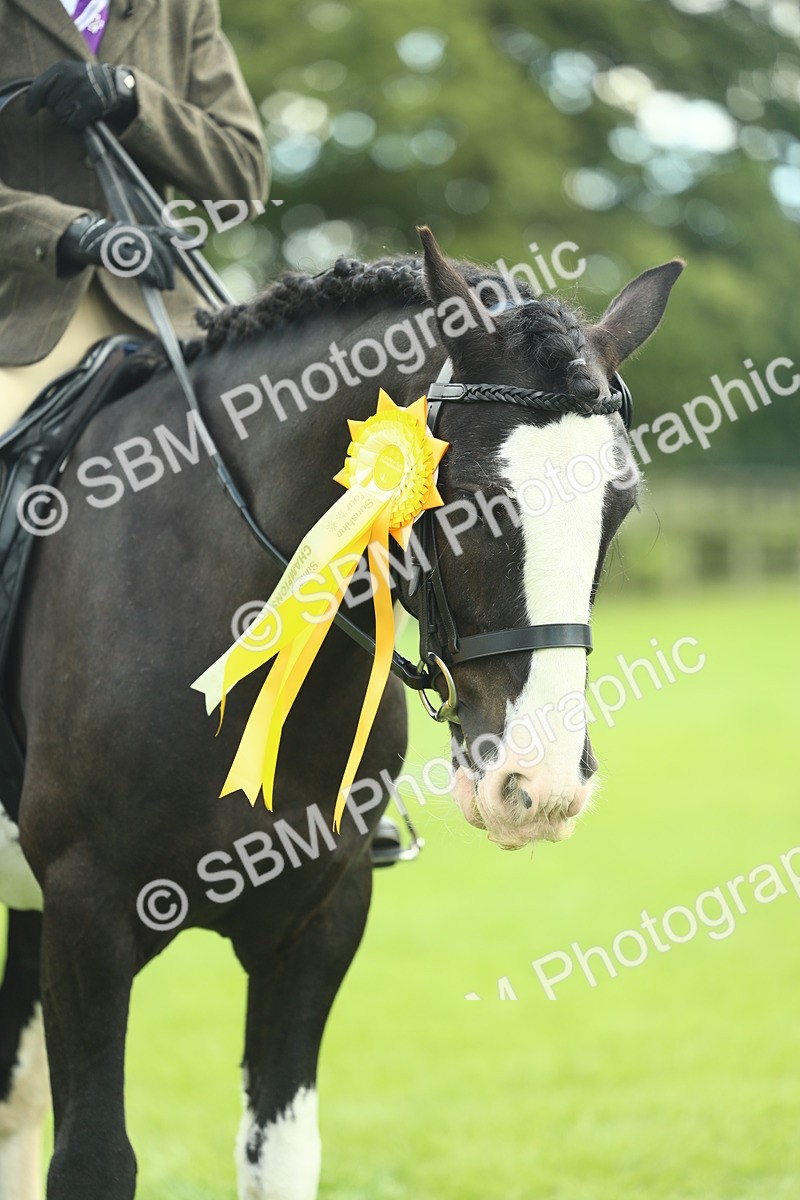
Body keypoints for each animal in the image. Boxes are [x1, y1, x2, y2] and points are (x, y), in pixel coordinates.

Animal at [0, 226, 682, 1200]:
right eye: (469, 500)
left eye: (618, 506)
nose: (539, 784)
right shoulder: (86, 916)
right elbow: (94, 1158)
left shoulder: (317, 924)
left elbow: (279, 1156)